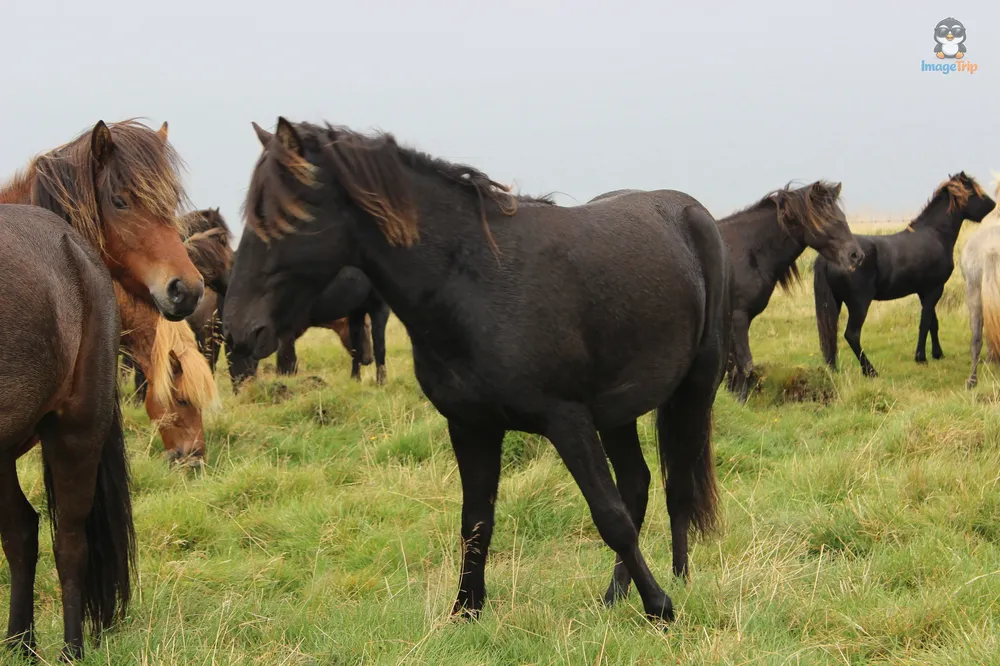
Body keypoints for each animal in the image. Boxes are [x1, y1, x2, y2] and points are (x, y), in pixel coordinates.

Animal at [224, 117, 733, 623]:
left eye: (288, 217)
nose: (240, 332)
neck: (476, 282)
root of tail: (690, 212)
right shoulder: (471, 425)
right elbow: (476, 522)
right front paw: (466, 610)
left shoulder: (567, 419)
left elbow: (610, 517)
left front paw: (661, 607)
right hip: (617, 412)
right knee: (638, 483)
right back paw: (615, 593)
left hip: (694, 388)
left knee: (677, 485)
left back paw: (678, 579)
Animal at [815, 173, 996, 377]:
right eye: (972, 190)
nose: (992, 204)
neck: (935, 234)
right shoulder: (935, 289)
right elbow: (925, 322)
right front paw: (921, 357)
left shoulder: (924, 291)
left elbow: (933, 322)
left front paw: (937, 354)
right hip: (860, 303)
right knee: (851, 335)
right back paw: (870, 371)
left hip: (835, 302)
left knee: (830, 332)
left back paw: (833, 369)